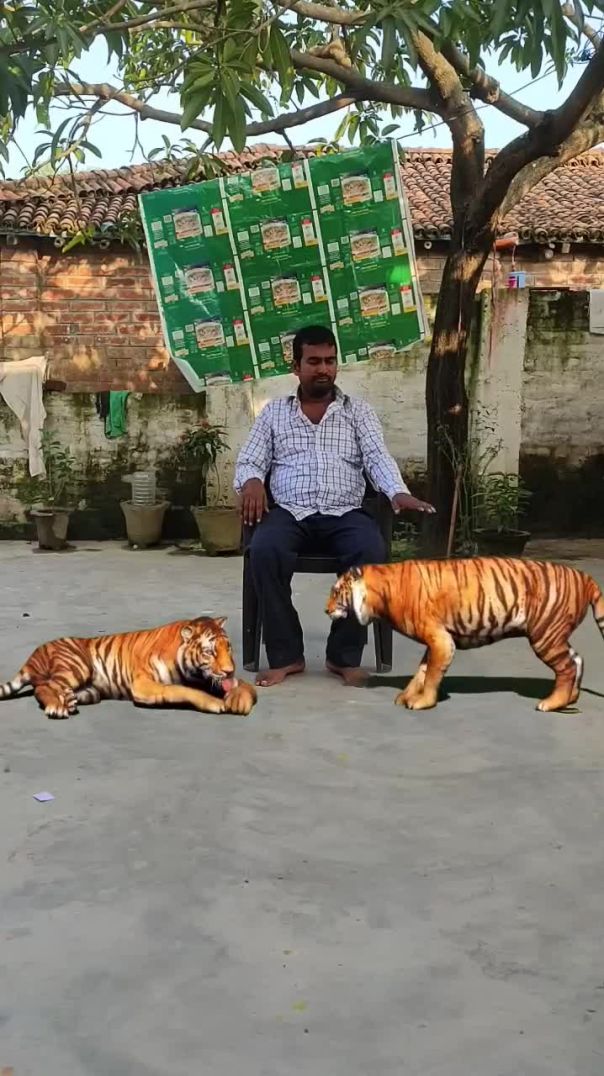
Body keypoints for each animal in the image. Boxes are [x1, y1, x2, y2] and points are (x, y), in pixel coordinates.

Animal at [0, 616, 256, 719]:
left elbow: (247, 686)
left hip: (91, 691)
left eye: (228, 648)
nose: (229, 671)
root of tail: (35, 652)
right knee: (43, 687)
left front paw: (239, 700)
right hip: (76, 665)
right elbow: (182, 690)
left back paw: (68, 701)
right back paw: (57, 707)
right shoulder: (143, 685)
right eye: (210, 652)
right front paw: (215, 702)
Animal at [326, 558, 604, 713]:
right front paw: (406, 696)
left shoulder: (440, 640)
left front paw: (423, 702)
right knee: (577, 659)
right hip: (554, 634)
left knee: (567, 667)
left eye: (337, 591)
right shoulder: (437, 641)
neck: (381, 592)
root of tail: (585, 577)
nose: (326, 610)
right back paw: (570, 699)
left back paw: (551, 703)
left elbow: (431, 675)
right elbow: (422, 672)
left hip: (545, 634)